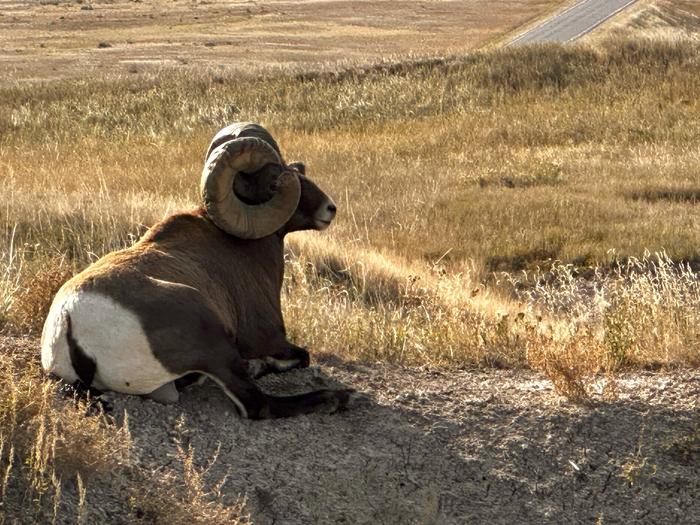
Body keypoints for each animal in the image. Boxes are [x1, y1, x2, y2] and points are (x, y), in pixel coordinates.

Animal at [41, 122, 352, 418]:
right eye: (275, 181)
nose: (329, 209)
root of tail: (69, 320)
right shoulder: (268, 338)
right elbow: (302, 356)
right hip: (211, 337)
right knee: (256, 404)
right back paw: (334, 398)